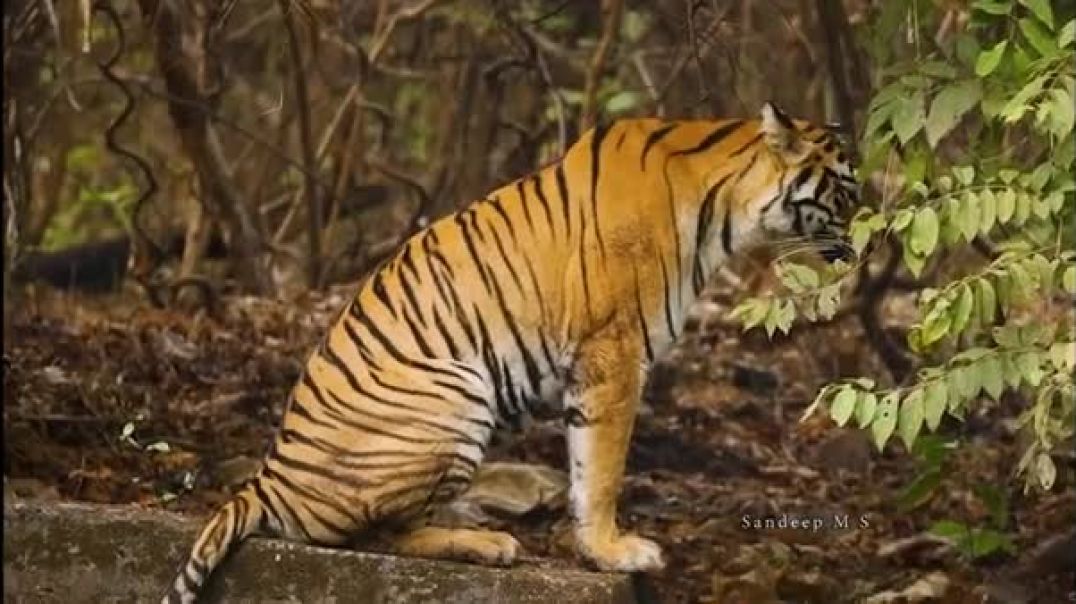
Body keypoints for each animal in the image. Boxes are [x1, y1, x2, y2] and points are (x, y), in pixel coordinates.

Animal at [163, 101, 860, 598]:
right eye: (846, 193)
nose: (860, 250)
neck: (722, 206)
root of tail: (265, 482)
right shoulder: (614, 351)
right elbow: (603, 468)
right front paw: (616, 552)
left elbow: (583, 464)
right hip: (457, 391)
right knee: (375, 534)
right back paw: (486, 543)